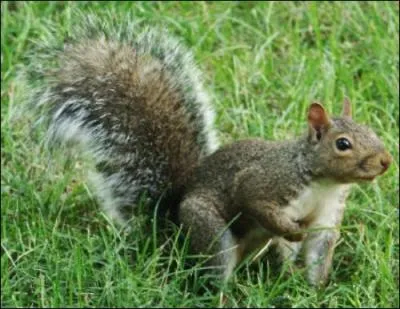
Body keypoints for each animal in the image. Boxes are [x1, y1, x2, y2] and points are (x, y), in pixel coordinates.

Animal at [26, 15, 392, 286]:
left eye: (373, 131)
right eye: (343, 144)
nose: (386, 161)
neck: (322, 182)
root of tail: (172, 227)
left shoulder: (327, 216)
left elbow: (318, 253)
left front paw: (316, 291)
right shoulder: (267, 181)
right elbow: (257, 203)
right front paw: (291, 230)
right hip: (210, 229)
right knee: (218, 270)